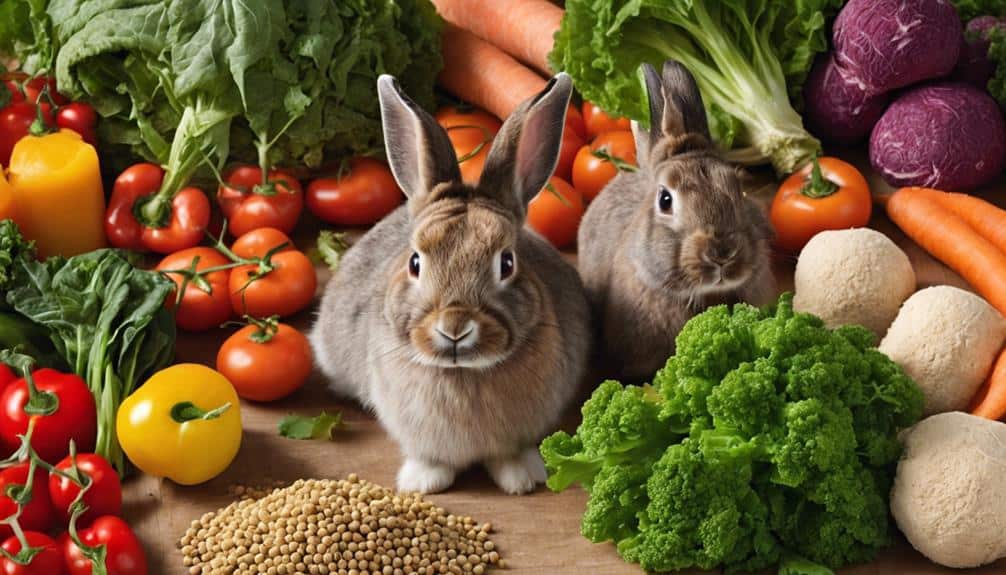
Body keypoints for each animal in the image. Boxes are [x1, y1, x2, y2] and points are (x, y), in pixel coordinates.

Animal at [309, 72, 591, 495]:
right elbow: (430, 459)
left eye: (507, 262)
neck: (463, 373)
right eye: (415, 262)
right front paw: (421, 484)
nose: (454, 328)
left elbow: (512, 454)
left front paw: (522, 480)